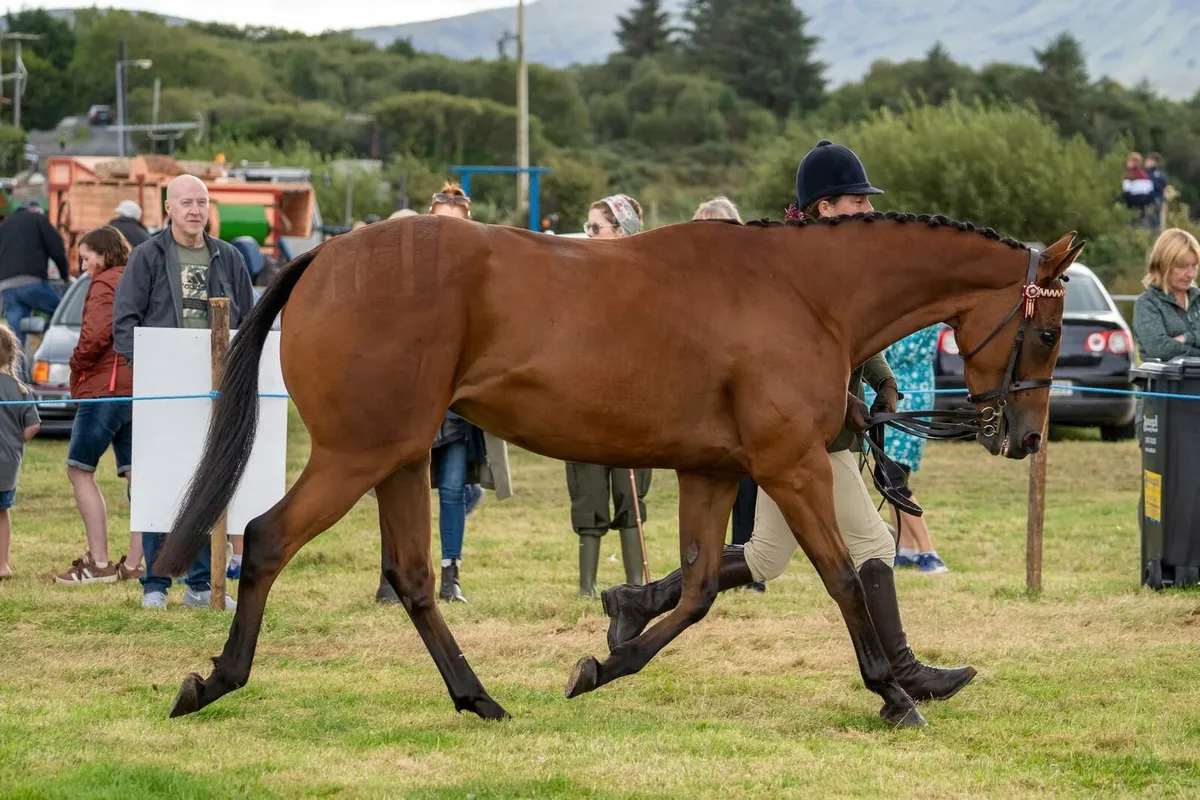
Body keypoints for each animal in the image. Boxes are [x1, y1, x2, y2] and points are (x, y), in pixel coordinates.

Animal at [155, 210, 1082, 728]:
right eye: (1044, 332)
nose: (1024, 438)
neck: (804, 292)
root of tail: (327, 255)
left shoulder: (713, 472)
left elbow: (702, 587)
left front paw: (604, 660)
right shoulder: (790, 467)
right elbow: (844, 576)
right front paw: (894, 695)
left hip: (399, 459)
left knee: (413, 576)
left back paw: (479, 699)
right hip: (360, 453)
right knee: (266, 540)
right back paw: (215, 682)